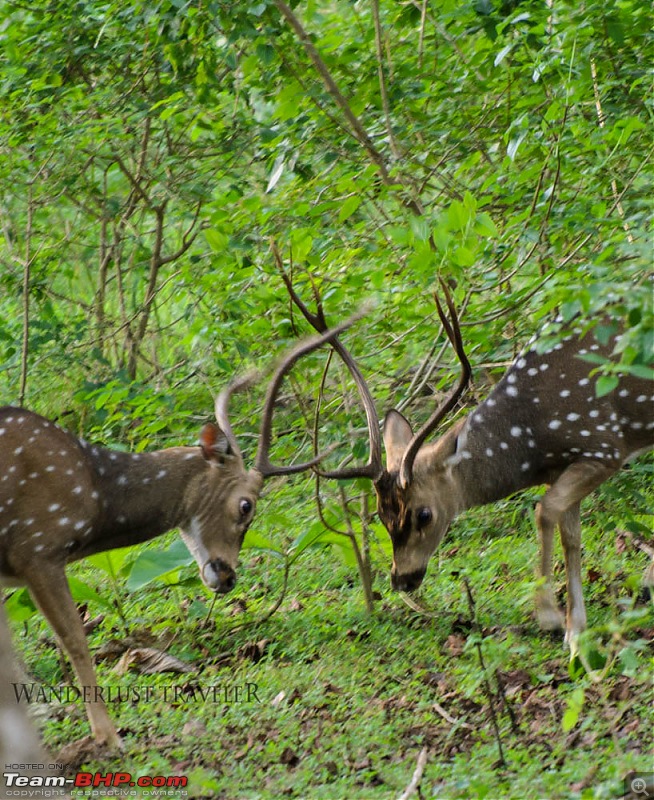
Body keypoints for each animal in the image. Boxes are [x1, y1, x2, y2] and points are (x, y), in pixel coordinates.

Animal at [0, 316, 364, 748]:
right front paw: (109, 737)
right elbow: (75, 641)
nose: (227, 576)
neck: (93, 495)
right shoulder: (37, 547)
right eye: (246, 505)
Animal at [298, 284, 654, 648]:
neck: (531, 438)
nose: (401, 580)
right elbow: (570, 534)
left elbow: (545, 511)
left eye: (424, 514)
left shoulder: (603, 446)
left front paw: (551, 618)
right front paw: (576, 630)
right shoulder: (565, 465)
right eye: (381, 515)